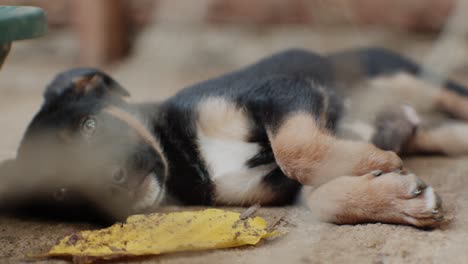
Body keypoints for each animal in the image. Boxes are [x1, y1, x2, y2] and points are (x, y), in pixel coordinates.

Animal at [1, 48, 466, 227]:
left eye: (89, 126)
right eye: (62, 192)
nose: (114, 181)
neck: (182, 156)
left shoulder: (279, 91)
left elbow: (294, 149)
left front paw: (376, 162)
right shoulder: (274, 187)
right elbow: (323, 198)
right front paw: (398, 198)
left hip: (404, 76)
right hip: (435, 131)